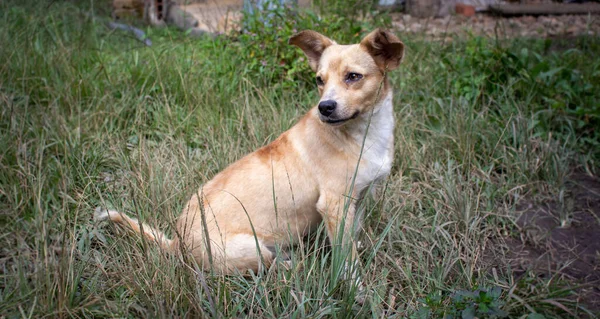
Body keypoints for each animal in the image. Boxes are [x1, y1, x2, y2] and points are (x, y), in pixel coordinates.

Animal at [96, 28, 406, 276]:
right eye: (320, 79)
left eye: (353, 77)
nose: (325, 107)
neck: (362, 132)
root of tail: (176, 244)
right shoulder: (334, 204)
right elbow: (346, 256)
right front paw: (355, 285)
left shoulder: (359, 198)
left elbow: (352, 235)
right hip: (252, 247)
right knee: (269, 268)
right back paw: (293, 265)